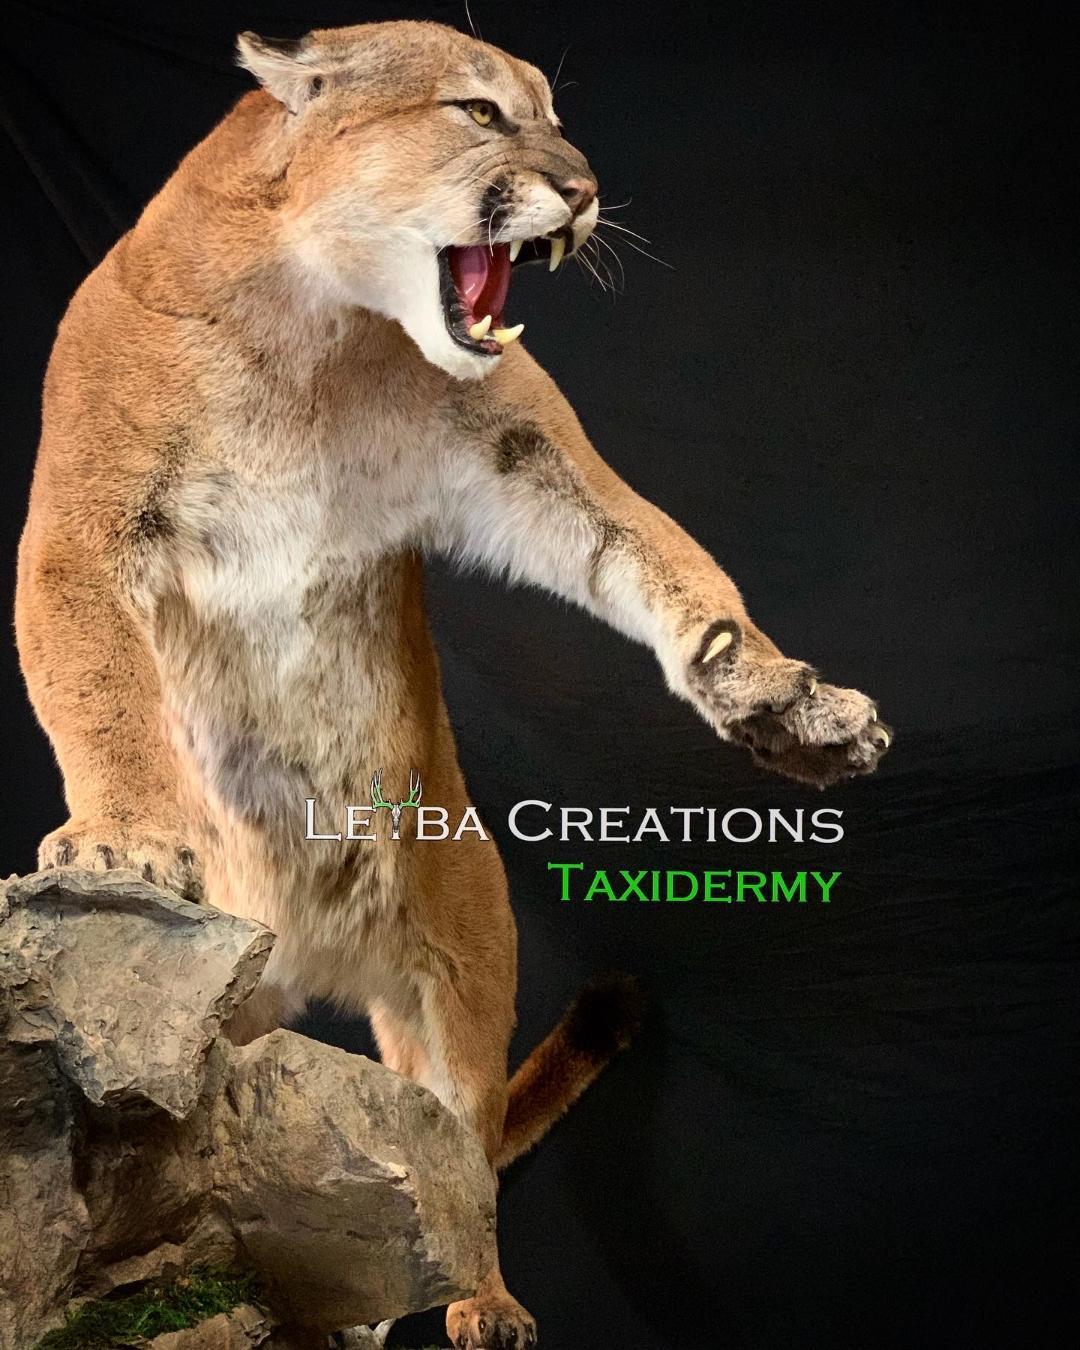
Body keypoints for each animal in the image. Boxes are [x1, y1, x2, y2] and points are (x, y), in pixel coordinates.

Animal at [15, 21, 891, 1347]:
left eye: (555, 117)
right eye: (480, 113)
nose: (584, 188)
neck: (309, 328)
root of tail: (305, 951)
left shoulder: (519, 449)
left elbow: (655, 548)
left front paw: (782, 702)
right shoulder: (80, 526)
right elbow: (97, 685)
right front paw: (121, 843)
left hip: (464, 979)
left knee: (450, 1172)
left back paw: (480, 1304)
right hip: (229, 1029)